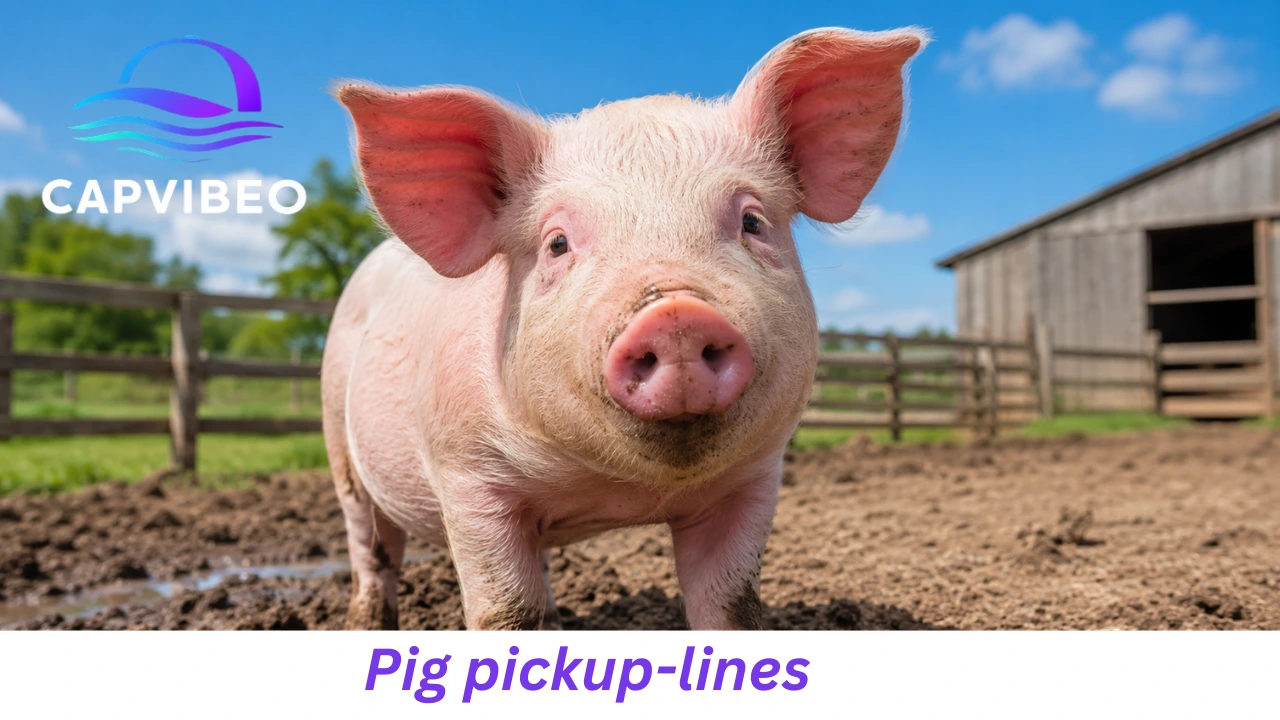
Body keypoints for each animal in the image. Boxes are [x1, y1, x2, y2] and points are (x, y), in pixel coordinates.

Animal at [323, 27, 926, 630]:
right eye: (557, 243)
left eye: (752, 221)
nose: (676, 316)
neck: (616, 491)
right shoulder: (467, 472)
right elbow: (506, 612)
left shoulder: (753, 479)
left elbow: (731, 605)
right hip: (338, 436)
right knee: (369, 545)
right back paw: (365, 622)